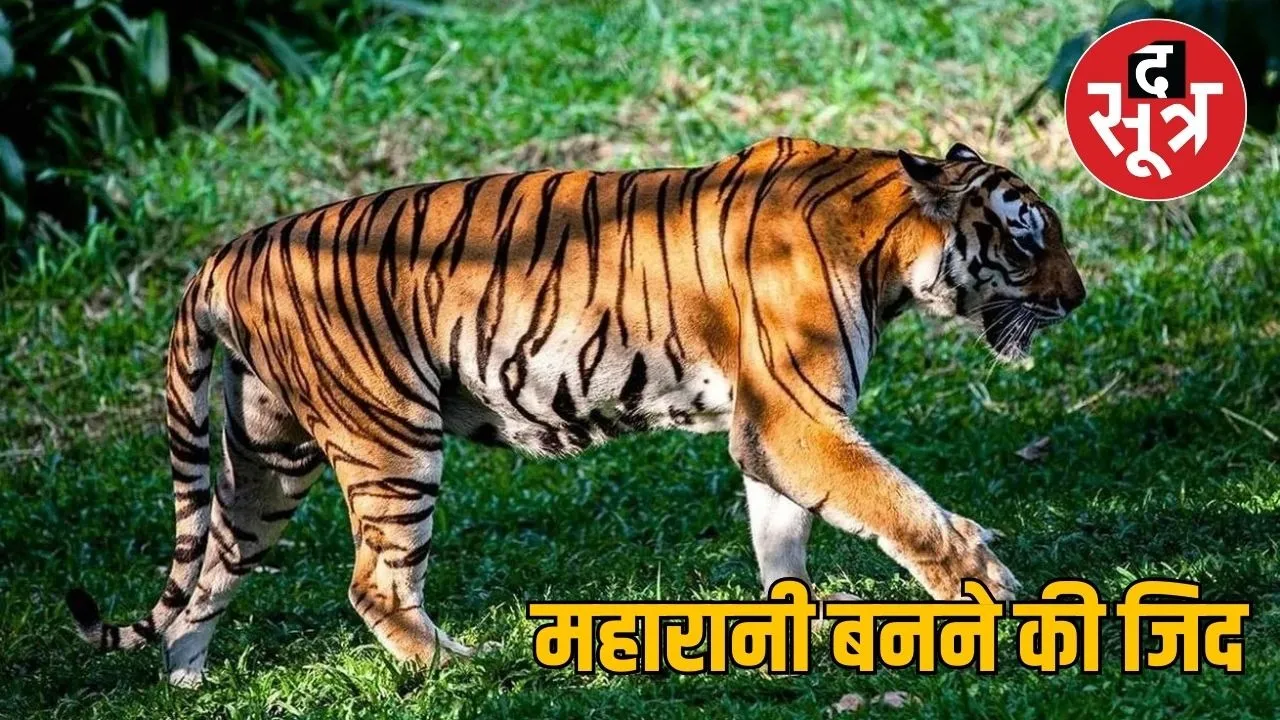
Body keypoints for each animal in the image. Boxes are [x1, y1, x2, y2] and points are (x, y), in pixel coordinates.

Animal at [66, 137, 1085, 686]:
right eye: (1028, 240)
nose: (1077, 298)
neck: (883, 244)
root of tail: (224, 253)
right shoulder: (797, 419)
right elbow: (899, 503)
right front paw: (988, 587)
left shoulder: (773, 432)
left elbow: (782, 538)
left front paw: (797, 632)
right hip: (389, 440)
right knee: (374, 583)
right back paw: (468, 670)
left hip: (269, 460)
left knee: (208, 569)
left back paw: (188, 680)